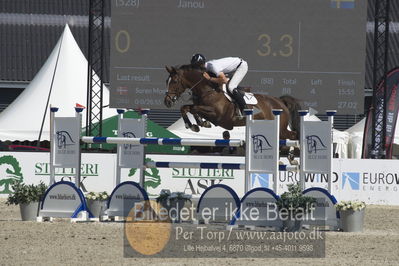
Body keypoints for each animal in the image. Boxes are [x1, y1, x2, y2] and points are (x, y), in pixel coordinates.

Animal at [164, 64, 302, 140]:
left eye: (174, 81)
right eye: (167, 81)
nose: (167, 102)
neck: (208, 89)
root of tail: (280, 101)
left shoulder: (218, 116)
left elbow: (193, 108)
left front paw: (198, 124)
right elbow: (186, 108)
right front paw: (194, 124)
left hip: (280, 130)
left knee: (294, 135)